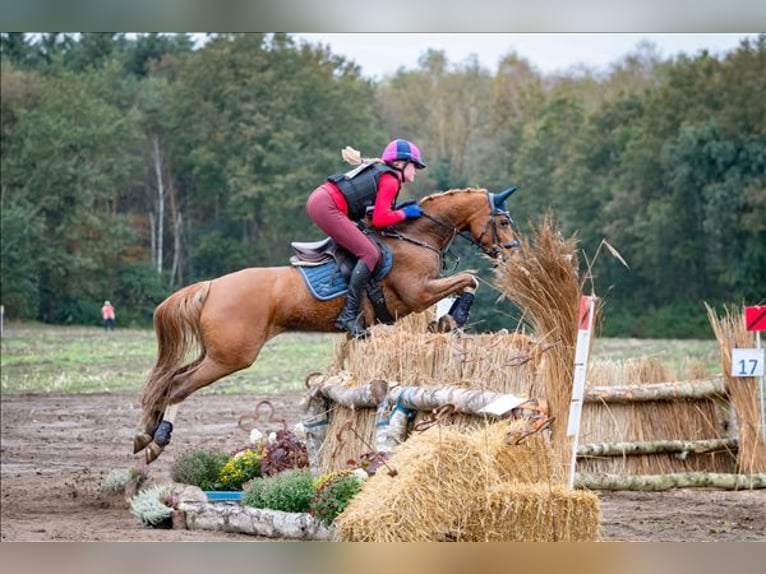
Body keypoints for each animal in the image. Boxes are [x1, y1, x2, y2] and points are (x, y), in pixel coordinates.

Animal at [135, 187, 520, 466]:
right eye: (503, 221)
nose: (512, 251)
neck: (415, 236)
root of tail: (211, 286)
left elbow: (468, 281)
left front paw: (446, 320)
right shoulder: (418, 292)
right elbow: (469, 279)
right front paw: (452, 318)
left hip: (215, 353)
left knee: (168, 379)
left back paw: (144, 434)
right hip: (231, 356)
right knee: (179, 386)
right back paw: (156, 443)